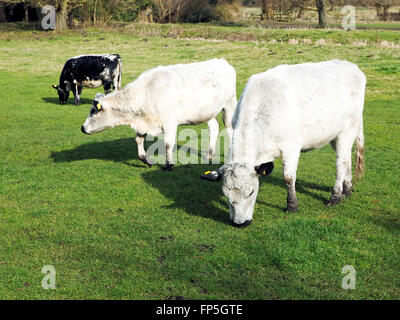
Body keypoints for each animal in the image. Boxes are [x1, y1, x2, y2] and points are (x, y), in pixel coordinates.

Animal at [81, 59, 238, 171]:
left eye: (93, 112)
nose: (82, 128)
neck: (146, 92)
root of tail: (222, 61)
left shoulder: (170, 122)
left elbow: (168, 143)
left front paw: (169, 164)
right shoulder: (145, 121)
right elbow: (138, 139)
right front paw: (145, 159)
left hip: (230, 105)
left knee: (231, 130)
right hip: (206, 112)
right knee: (214, 127)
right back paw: (209, 154)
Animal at [203, 58, 366, 226]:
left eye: (251, 192)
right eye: (226, 195)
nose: (240, 223)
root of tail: (349, 65)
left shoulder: (291, 147)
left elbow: (288, 177)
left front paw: (292, 205)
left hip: (347, 131)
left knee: (341, 163)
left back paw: (336, 195)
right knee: (346, 160)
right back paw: (347, 189)